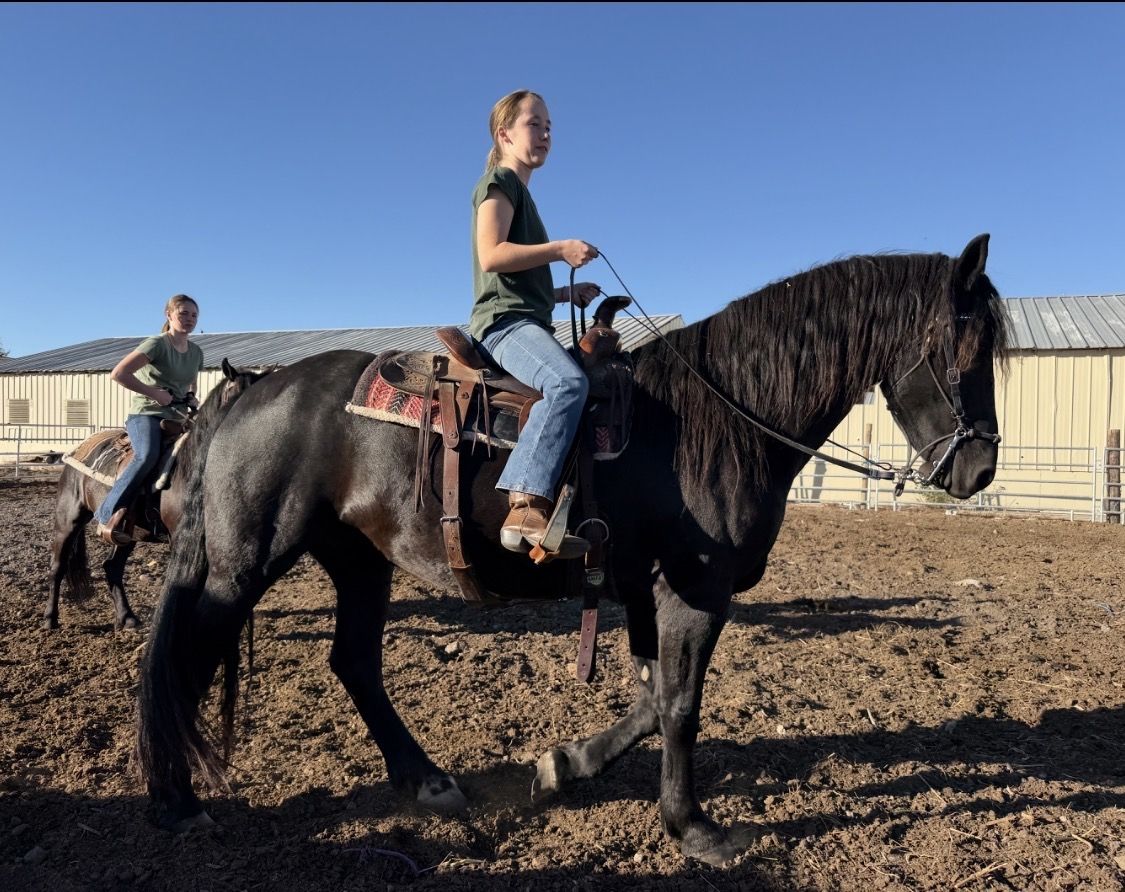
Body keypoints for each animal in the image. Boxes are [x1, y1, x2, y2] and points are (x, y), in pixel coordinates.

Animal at [43, 359, 272, 632]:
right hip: (68, 519)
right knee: (58, 566)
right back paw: (50, 618)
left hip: (128, 532)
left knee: (112, 567)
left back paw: (127, 618)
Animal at [135, 235, 1009, 865]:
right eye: (964, 352)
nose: (978, 470)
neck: (718, 422)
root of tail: (255, 388)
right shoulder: (693, 591)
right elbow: (680, 706)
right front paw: (694, 827)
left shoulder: (645, 591)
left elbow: (652, 699)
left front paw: (566, 764)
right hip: (246, 561)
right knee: (188, 654)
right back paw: (176, 803)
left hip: (358, 560)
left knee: (352, 662)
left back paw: (425, 781)